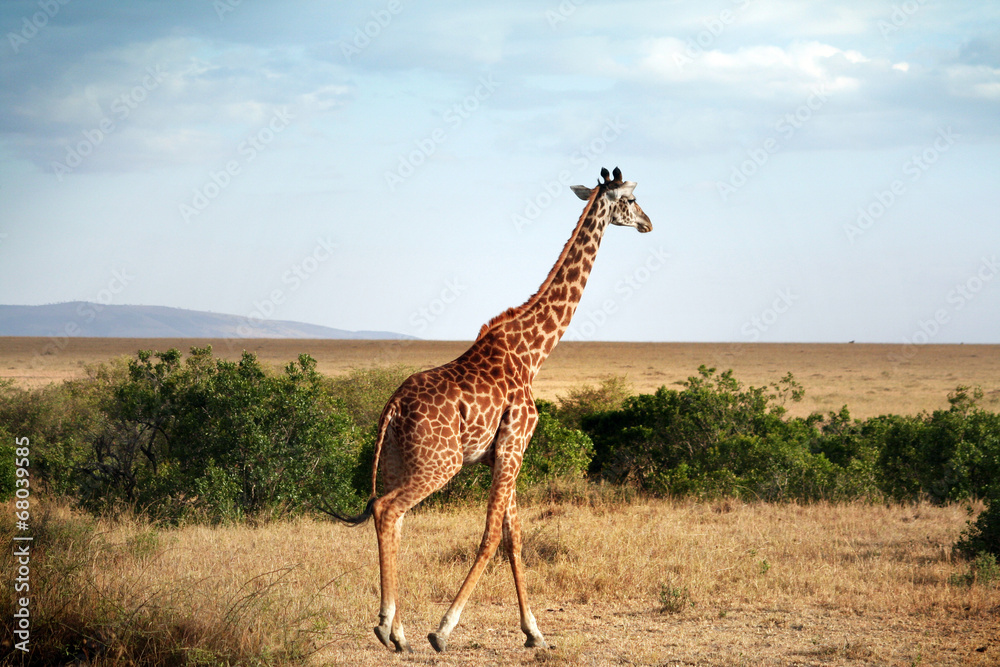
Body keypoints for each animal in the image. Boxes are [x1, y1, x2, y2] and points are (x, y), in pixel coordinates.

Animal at [330, 167, 652, 653]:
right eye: (631, 199)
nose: (649, 223)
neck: (533, 352)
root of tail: (392, 406)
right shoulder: (515, 444)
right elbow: (488, 538)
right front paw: (443, 630)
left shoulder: (505, 452)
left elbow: (513, 538)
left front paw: (534, 632)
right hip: (440, 463)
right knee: (387, 510)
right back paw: (387, 627)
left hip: (397, 461)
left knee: (394, 518)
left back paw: (399, 633)